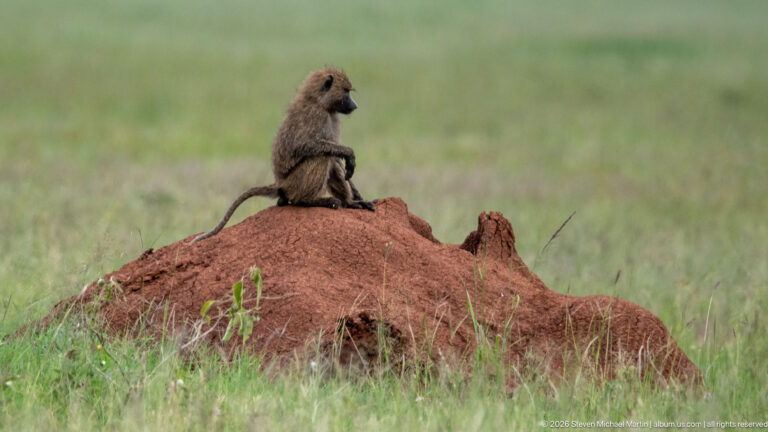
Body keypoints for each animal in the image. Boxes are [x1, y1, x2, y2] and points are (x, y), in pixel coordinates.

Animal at [191, 67, 375, 243]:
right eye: (346, 92)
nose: (355, 105)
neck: (320, 103)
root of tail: (280, 184)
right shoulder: (316, 116)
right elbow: (303, 145)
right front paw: (349, 153)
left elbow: (336, 156)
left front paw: (357, 195)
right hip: (295, 184)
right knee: (321, 157)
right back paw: (310, 201)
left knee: (330, 160)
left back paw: (348, 203)